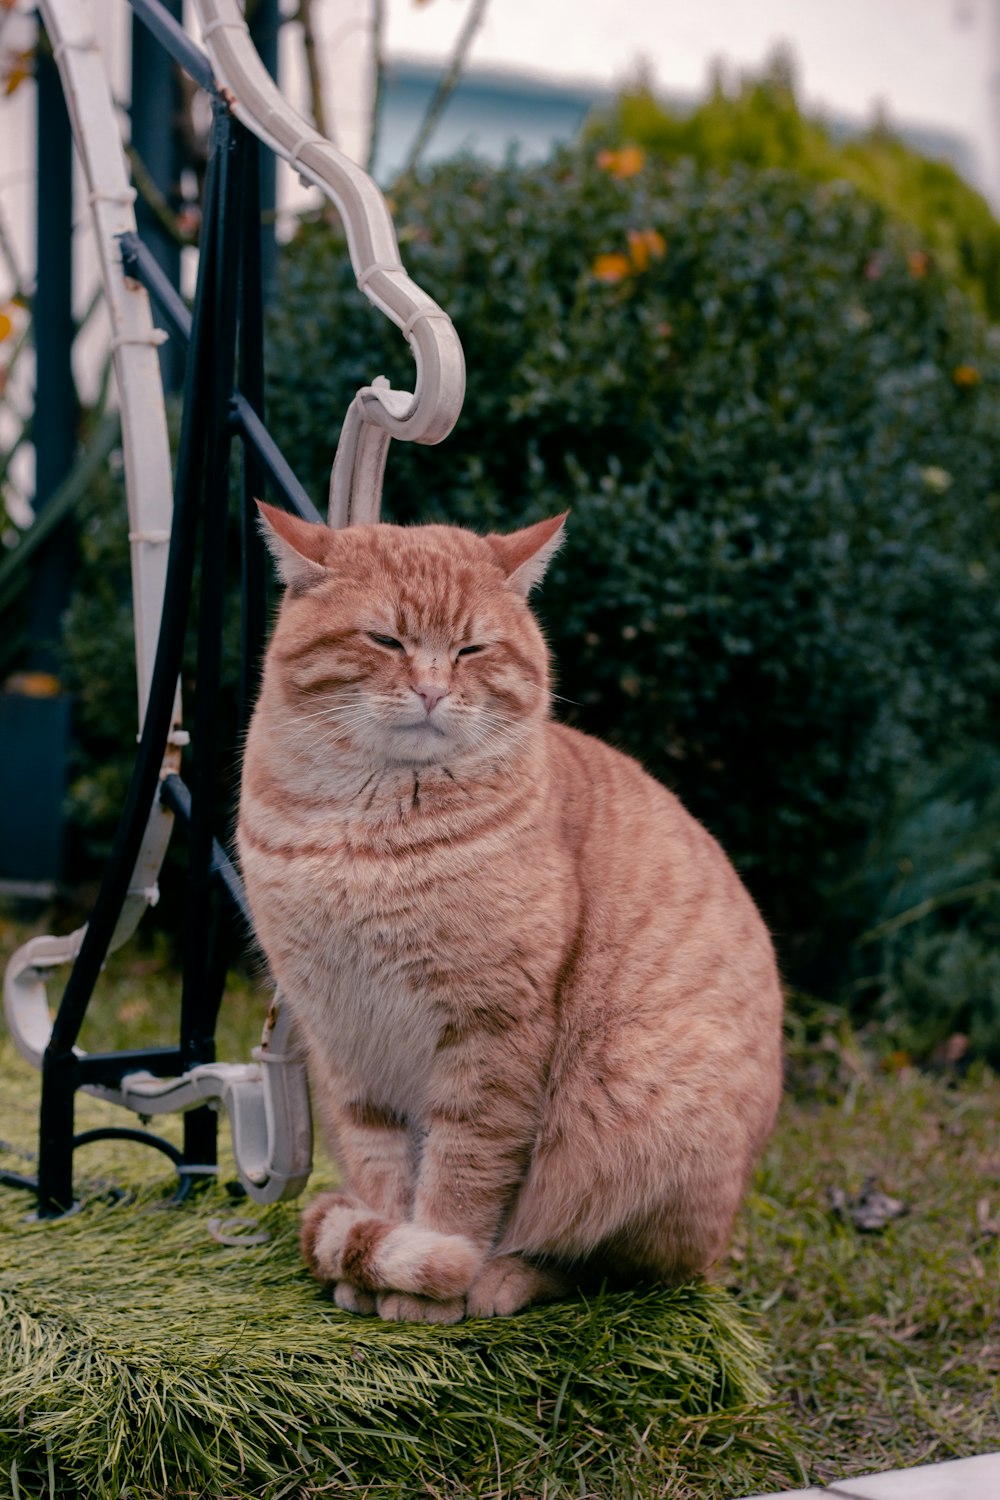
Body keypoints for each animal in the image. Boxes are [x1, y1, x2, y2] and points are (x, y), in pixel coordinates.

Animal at [238, 507, 785, 1326]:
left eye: (472, 648)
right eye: (386, 640)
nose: (432, 691)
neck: (365, 834)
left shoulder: (491, 1030)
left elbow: (463, 1175)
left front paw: (430, 1277)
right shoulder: (342, 1036)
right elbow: (379, 1170)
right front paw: (380, 1261)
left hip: (643, 1116)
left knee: (614, 1269)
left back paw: (502, 1278)